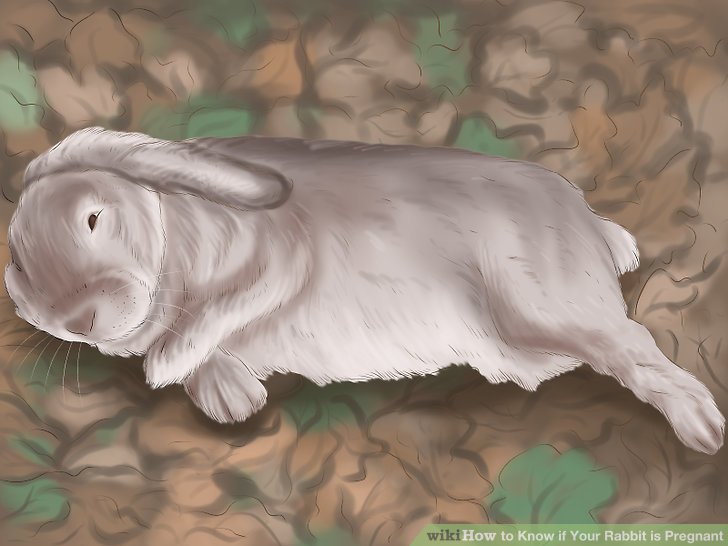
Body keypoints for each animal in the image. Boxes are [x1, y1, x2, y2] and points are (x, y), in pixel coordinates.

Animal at [4, 127, 724, 454]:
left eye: (93, 217)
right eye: (17, 264)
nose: (80, 318)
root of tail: (589, 222)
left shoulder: (278, 257)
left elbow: (218, 312)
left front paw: (169, 366)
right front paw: (232, 397)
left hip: (545, 302)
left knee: (636, 350)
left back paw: (705, 431)